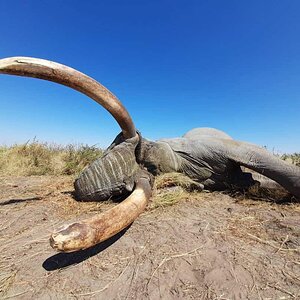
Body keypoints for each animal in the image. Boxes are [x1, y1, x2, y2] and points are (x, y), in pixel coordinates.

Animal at [0, 56, 298, 253]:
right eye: (122, 191)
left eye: (150, 162)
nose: (76, 187)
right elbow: (244, 183)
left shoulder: (212, 148)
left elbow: (254, 155)